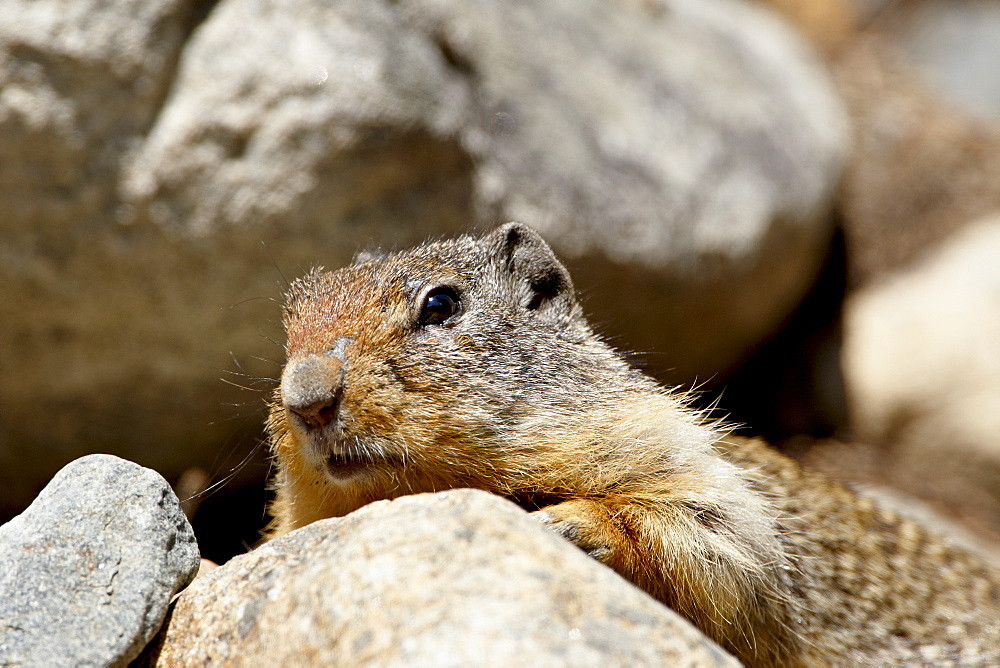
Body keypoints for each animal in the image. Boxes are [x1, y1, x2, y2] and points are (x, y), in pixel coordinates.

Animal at [266, 223, 1000, 664]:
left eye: (441, 305)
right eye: (290, 322)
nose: (306, 395)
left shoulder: (687, 463)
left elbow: (711, 546)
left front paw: (575, 525)